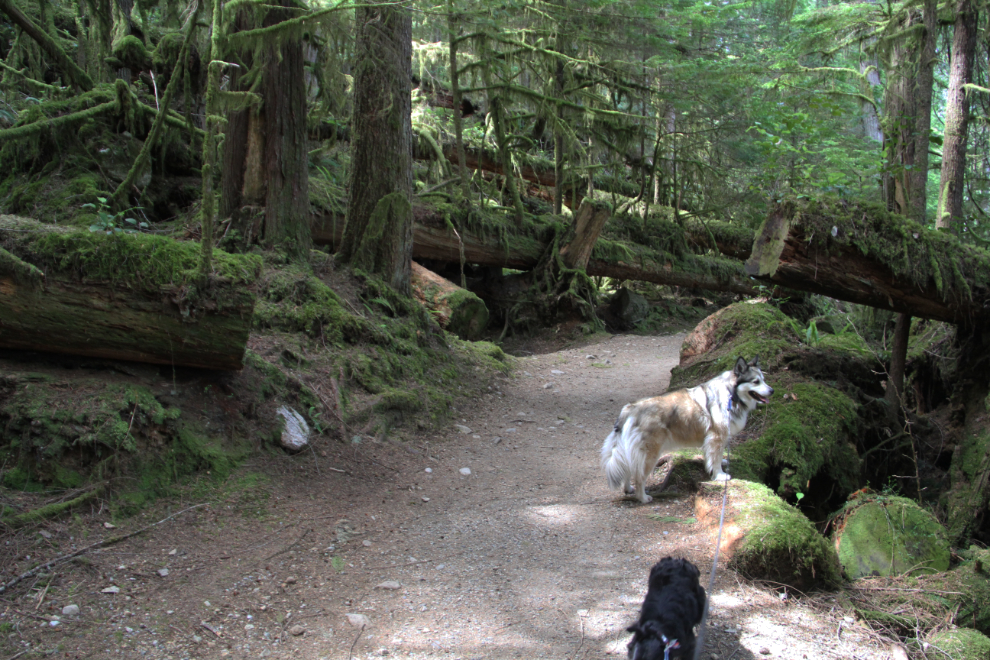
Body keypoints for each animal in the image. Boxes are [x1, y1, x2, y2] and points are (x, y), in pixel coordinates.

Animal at [596, 358, 776, 502]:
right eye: (755, 381)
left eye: (763, 380)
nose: (772, 391)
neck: (731, 395)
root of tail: (631, 408)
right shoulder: (717, 436)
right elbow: (716, 458)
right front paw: (719, 475)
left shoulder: (712, 439)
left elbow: (712, 456)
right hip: (650, 453)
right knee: (639, 476)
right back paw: (643, 498)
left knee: (628, 469)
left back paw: (628, 489)